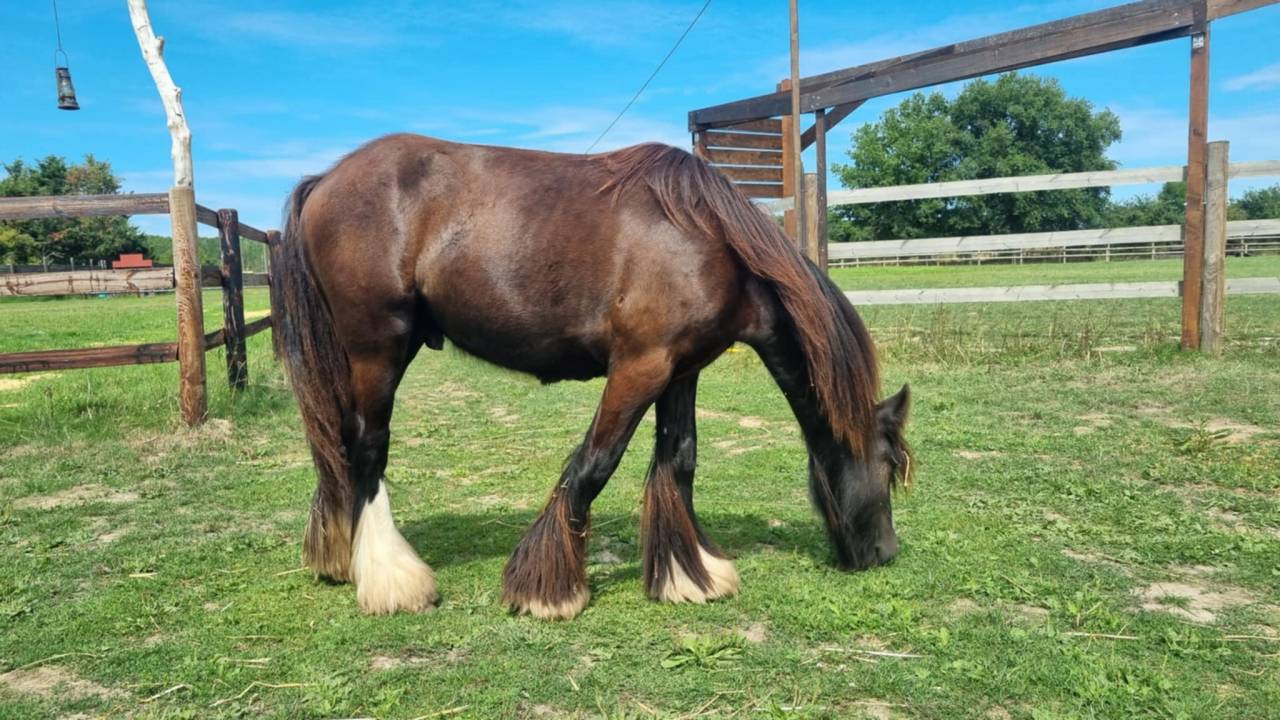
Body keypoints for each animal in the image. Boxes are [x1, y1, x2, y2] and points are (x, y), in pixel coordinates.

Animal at [270, 133, 912, 619]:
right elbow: (594, 464)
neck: (710, 241)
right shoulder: (639, 366)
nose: (884, 553)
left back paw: (342, 557)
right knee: (367, 447)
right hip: (379, 348)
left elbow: (679, 460)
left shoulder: (680, 370)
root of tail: (325, 180)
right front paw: (548, 590)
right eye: (887, 466)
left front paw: (690, 576)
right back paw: (393, 580)